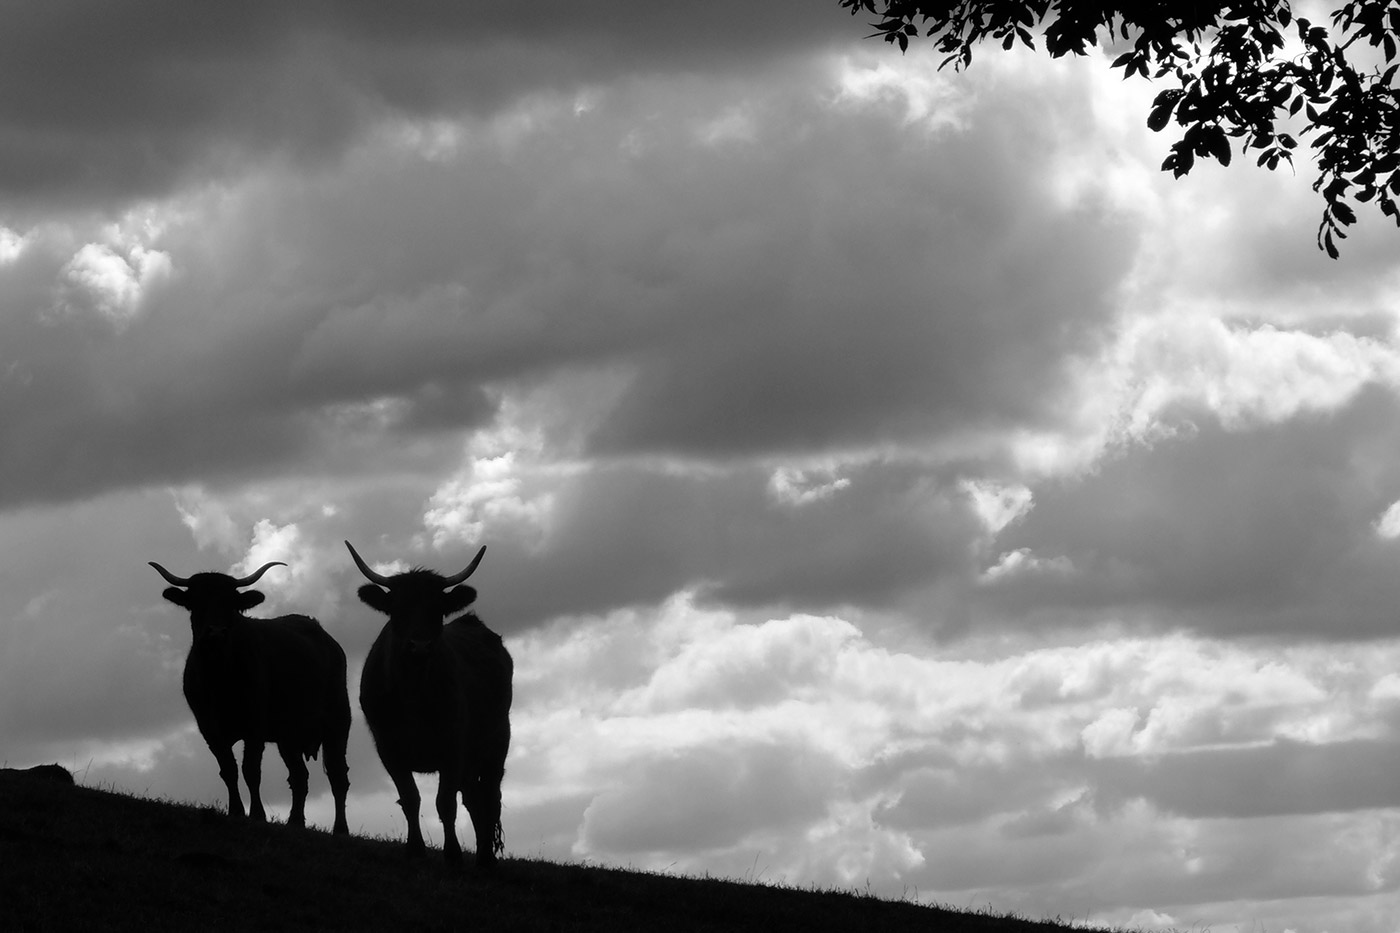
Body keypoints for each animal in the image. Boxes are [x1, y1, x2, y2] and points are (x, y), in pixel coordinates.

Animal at [149, 554, 350, 829]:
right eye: (196, 602)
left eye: (231, 603)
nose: (216, 632)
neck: (219, 679)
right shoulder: (209, 728)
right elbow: (228, 770)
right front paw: (235, 811)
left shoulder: (254, 726)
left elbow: (251, 770)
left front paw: (257, 814)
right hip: (288, 736)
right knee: (299, 776)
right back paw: (295, 822)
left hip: (337, 723)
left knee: (338, 776)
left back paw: (340, 829)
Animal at [345, 537, 515, 862]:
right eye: (397, 608)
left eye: (438, 608)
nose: (420, 645)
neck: (413, 689)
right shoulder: (389, 748)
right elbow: (410, 798)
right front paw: (415, 850)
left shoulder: (453, 745)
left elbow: (445, 802)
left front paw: (453, 855)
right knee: (474, 798)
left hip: (497, 742)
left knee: (489, 796)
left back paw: (485, 859)